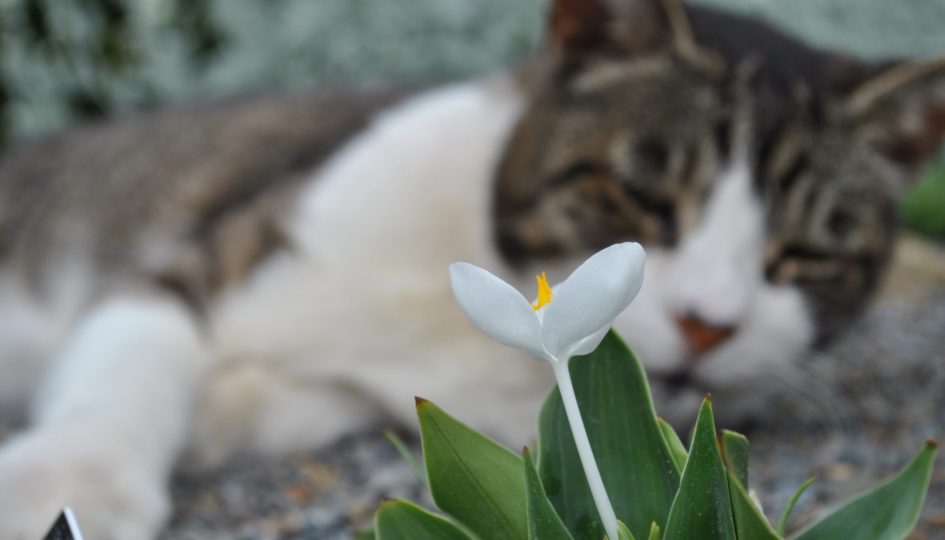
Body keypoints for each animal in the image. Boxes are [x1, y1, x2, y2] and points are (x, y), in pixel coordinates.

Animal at [1, 0, 944, 536]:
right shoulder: (190, 270)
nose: (706, 325)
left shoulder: (326, 394)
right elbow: (127, 378)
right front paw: (61, 487)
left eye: (805, 255)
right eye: (641, 199)